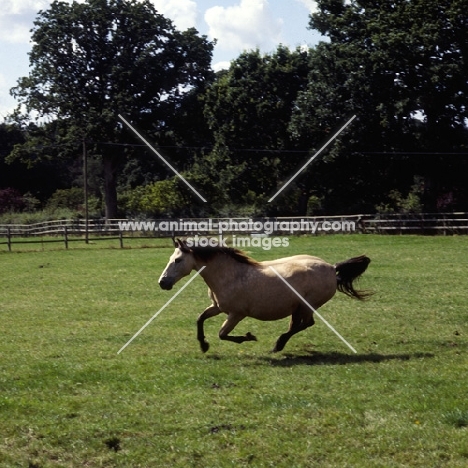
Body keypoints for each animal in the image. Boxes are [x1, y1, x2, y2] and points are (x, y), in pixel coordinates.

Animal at [159, 239, 372, 352]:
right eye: (170, 258)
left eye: (178, 260)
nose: (162, 283)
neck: (230, 275)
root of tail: (332, 268)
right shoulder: (218, 307)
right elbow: (200, 318)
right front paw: (203, 345)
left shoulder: (237, 314)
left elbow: (222, 334)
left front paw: (248, 337)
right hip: (297, 307)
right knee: (296, 325)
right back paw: (279, 345)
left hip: (307, 305)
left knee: (306, 324)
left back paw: (278, 344)